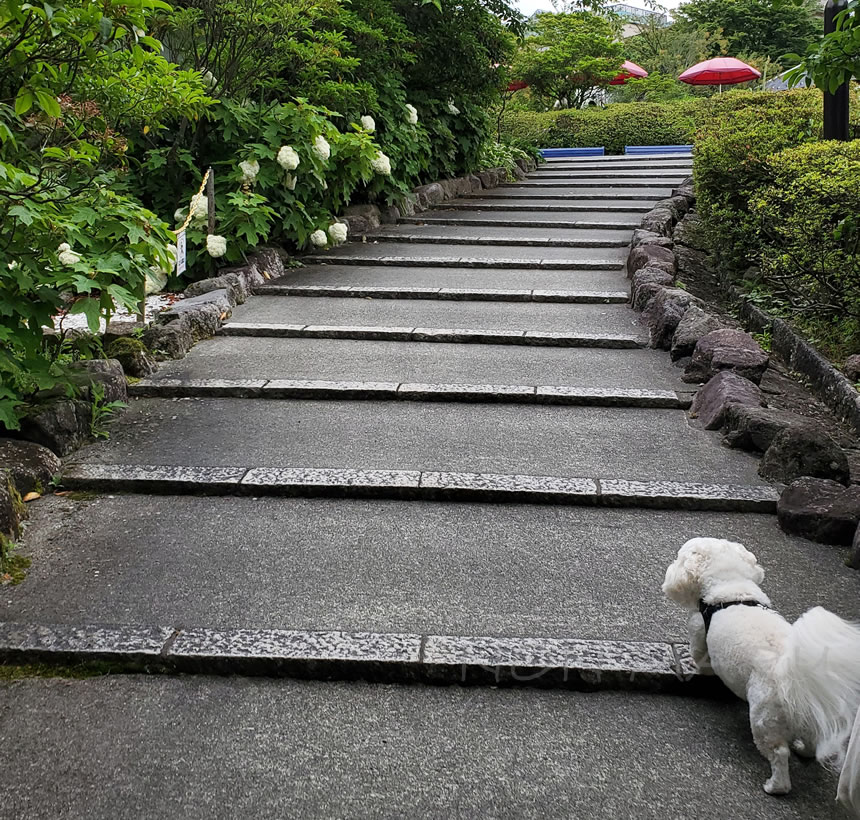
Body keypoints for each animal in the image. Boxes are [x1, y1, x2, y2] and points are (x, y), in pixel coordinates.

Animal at [664, 536, 860, 812]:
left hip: (763, 716)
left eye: (680, 558)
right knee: (810, 739)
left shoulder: (698, 633)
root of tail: (793, 677)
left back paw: (775, 786)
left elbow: (701, 658)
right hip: (804, 713)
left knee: (778, 754)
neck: (731, 588)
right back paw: (803, 750)